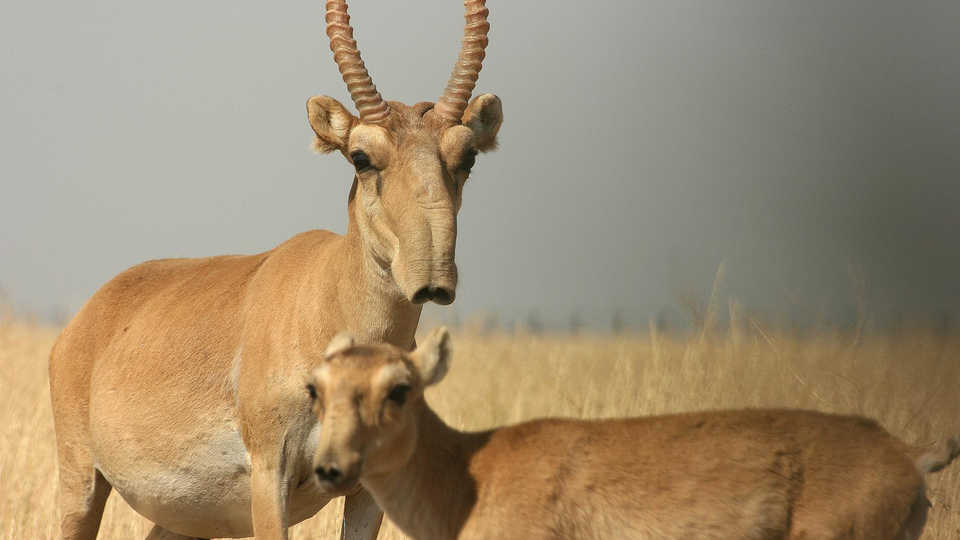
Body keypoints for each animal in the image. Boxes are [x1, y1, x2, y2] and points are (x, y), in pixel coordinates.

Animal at [47, 2, 502, 536]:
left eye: (467, 156)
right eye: (361, 156)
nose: (431, 276)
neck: (326, 296)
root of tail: (85, 319)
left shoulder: (367, 490)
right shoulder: (271, 477)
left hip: (183, 520)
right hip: (82, 483)